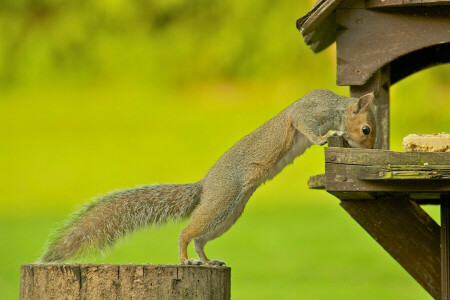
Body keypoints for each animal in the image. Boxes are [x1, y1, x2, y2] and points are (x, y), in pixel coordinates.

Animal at [38, 88, 376, 264]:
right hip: (223, 200)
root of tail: (206, 186)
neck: (334, 107)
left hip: (228, 215)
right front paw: (325, 137)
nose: (371, 149)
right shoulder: (306, 112)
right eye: (366, 129)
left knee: (200, 239)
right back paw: (185, 258)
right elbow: (303, 125)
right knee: (186, 233)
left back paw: (206, 260)